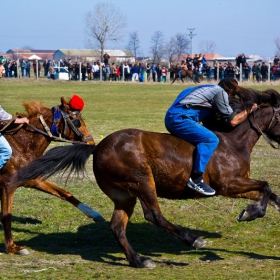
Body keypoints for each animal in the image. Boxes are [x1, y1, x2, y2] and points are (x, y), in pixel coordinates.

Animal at [1, 97, 104, 256]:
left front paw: (95, 214)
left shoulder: (33, 179)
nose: (91, 142)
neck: (22, 145)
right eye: (76, 120)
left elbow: (65, 193)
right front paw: (13, 247)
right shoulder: (8, 186)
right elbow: (6, 216)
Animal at [12, 82, 280, 268]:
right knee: (154, 215)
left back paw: (139, 260)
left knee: (117, 226)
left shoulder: (239, 186)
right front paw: (252, 213)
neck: (233, 142)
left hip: (124, 195)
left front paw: (252, 211)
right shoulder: (228, 184)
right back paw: (192, 239)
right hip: (142, 181)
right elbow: (266, 186)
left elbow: (270, 193)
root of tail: (97, 147)